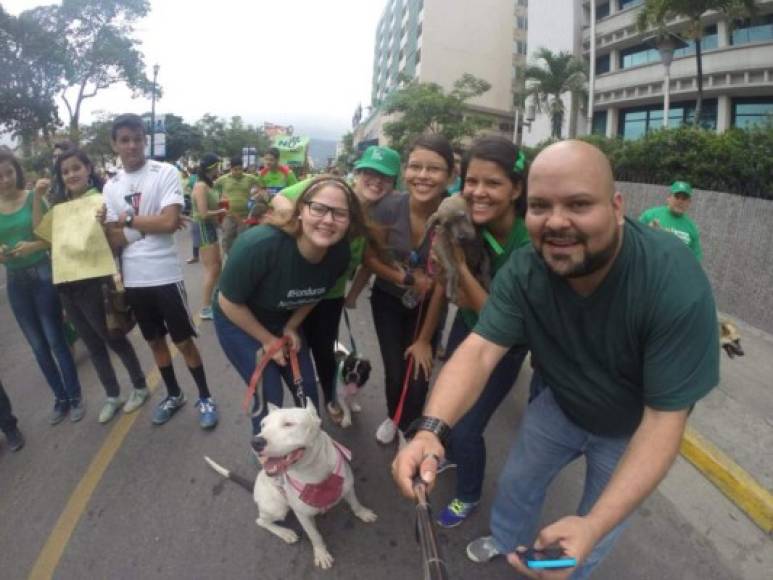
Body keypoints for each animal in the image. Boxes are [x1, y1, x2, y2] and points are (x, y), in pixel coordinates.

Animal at [204, 402, 376, 568]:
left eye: (288, 424)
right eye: (263, 425)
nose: (255, 441)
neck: (313, 470)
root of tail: (255, 486)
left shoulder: (348, 486)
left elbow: (355, 503)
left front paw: (363, 513)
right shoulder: (302, 515)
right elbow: (314, 535)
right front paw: (321, 554)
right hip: (277, 508)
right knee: (261, 521)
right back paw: (285, 533)